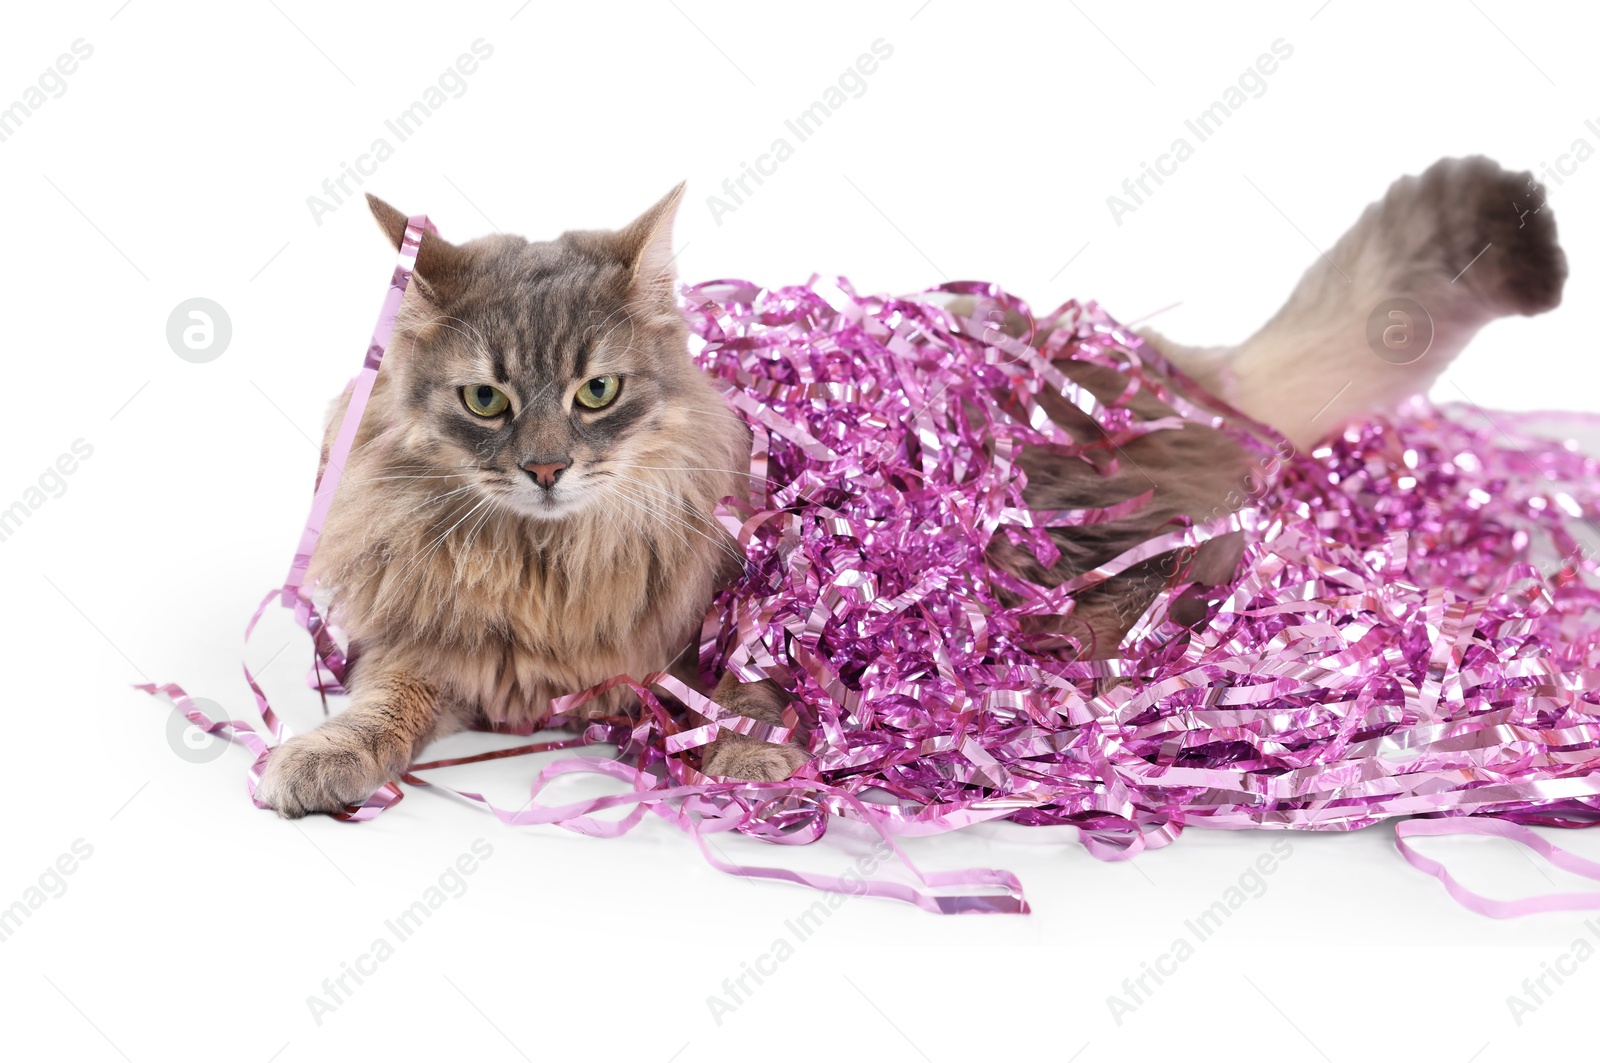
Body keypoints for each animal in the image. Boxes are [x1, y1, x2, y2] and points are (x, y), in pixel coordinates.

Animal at [256, 157, 1568, 816]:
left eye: (594, 393)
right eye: (485, 401)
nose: (541, 467)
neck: (547, 564)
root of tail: (1144, 362)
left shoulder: (762, 597)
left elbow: (762, 679)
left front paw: (749, 753)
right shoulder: (425, 642)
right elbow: (378, 703)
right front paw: (321, 757)